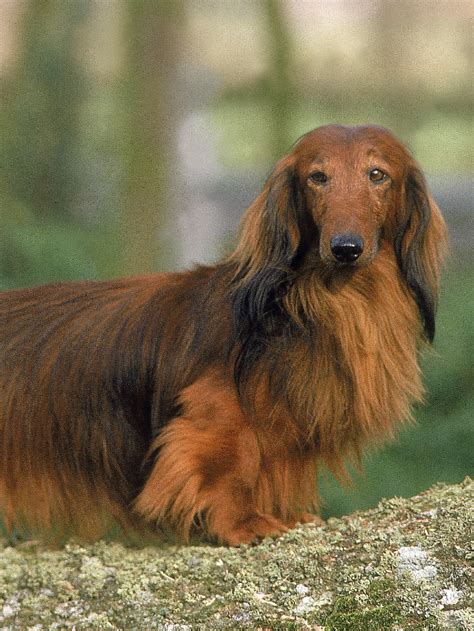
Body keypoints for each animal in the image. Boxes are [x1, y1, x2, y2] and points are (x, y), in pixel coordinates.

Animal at [0, 126, 446, 544]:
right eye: (318, 177)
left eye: (377, 174)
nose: (346, 248)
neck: (333, 298)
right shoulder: (216, 410)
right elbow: (228, 464)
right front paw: (243, 522)